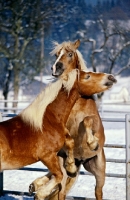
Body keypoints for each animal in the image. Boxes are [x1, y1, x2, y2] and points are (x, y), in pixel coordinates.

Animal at [29, 39, 117, 200]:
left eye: (70, 54)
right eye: (57, 54)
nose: (56, 67)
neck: (77, 105)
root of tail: (80, 160)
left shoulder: (95, 123)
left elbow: (88, 120)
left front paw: (93, 143)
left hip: (99, 172)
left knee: (98, 192)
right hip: (64, 168)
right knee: (60, 189)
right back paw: (37, 184)